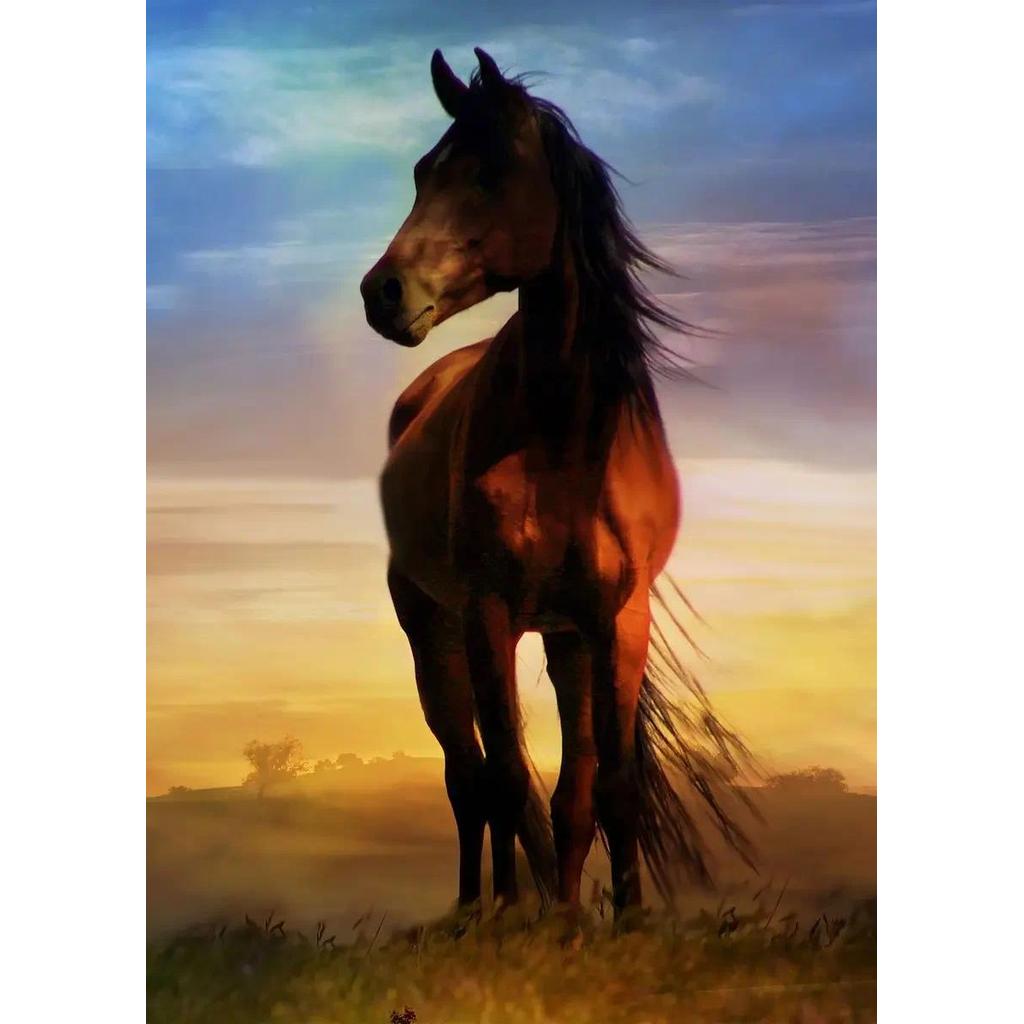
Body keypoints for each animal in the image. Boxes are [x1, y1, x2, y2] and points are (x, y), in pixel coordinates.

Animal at [361, 47, 755, 922]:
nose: (383, 293)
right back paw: (482, 910)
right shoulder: (488, 614)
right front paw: (529, 919)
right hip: (434, 634)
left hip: (566, 640)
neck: (567, 446)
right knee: (470, 778)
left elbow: (606, 786)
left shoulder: (615, 620)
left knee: (554, 786)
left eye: (490, 172)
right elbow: (508, 780)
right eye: (422, 172)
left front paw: (617, 921)